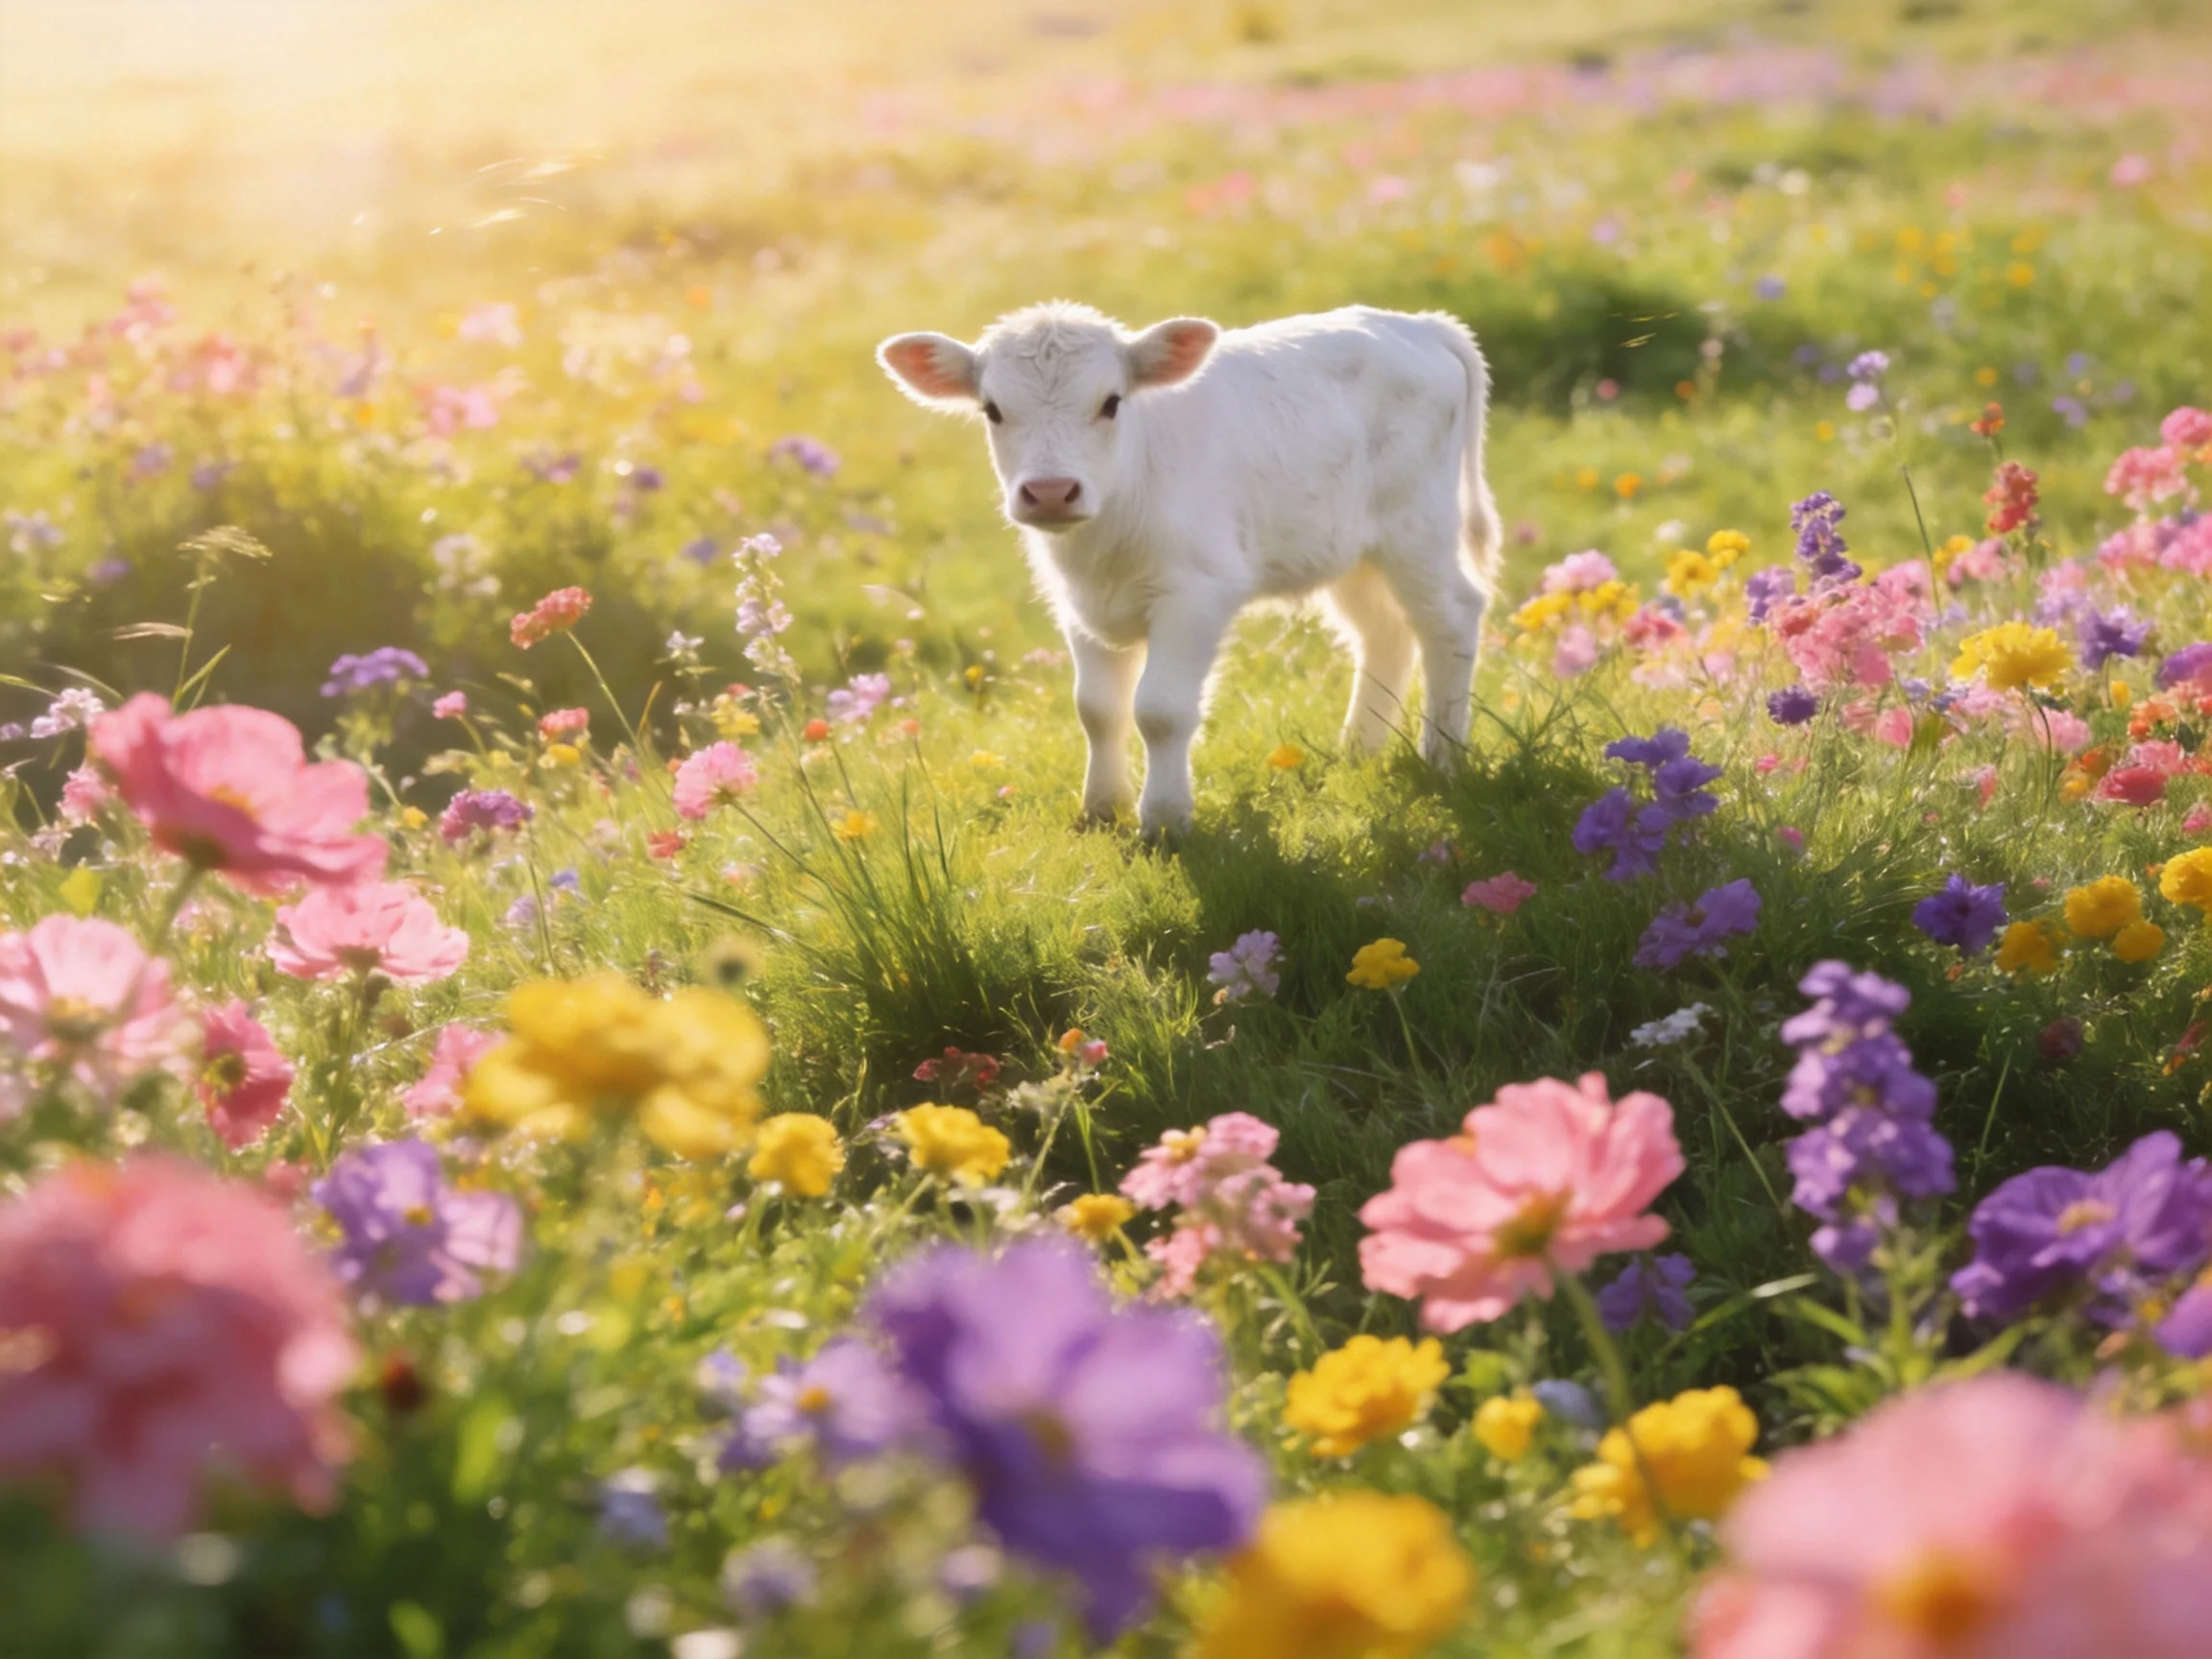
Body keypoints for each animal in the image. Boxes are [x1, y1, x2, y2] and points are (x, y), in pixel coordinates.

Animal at [876, 302, 1499, 839]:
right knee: (1384, 631)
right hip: (1348, 549)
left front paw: (1164, 820)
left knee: (1451, 616)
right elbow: (1096, 709)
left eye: (1111, 402)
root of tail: (1420, 324)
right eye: (993, 409)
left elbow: (1160, 710)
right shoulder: (1077, 604)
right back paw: (1357, 752)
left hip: (1417, 526)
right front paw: (1101, 811)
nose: (1051, 492)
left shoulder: (1197, 592)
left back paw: (1443, 757)